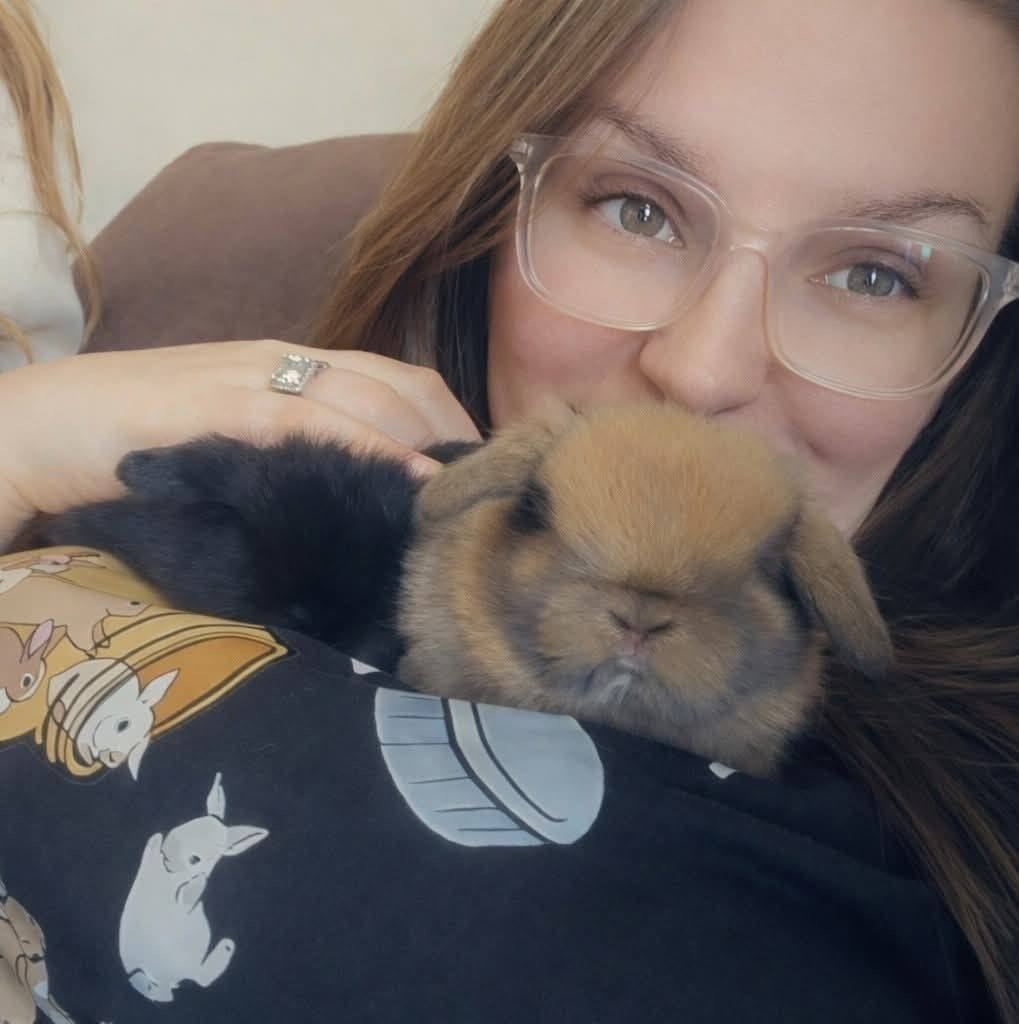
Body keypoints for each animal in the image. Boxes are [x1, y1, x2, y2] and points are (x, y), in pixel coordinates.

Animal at [118, 773, 268, 1003]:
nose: (167, 853)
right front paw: (155, 840)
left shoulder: (185, 894)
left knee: (201, 978)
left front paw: (199, 881)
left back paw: (226, 947)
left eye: (195, 859)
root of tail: (155, 983)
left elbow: (190, 892)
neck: (171, 873)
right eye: (183, 826)